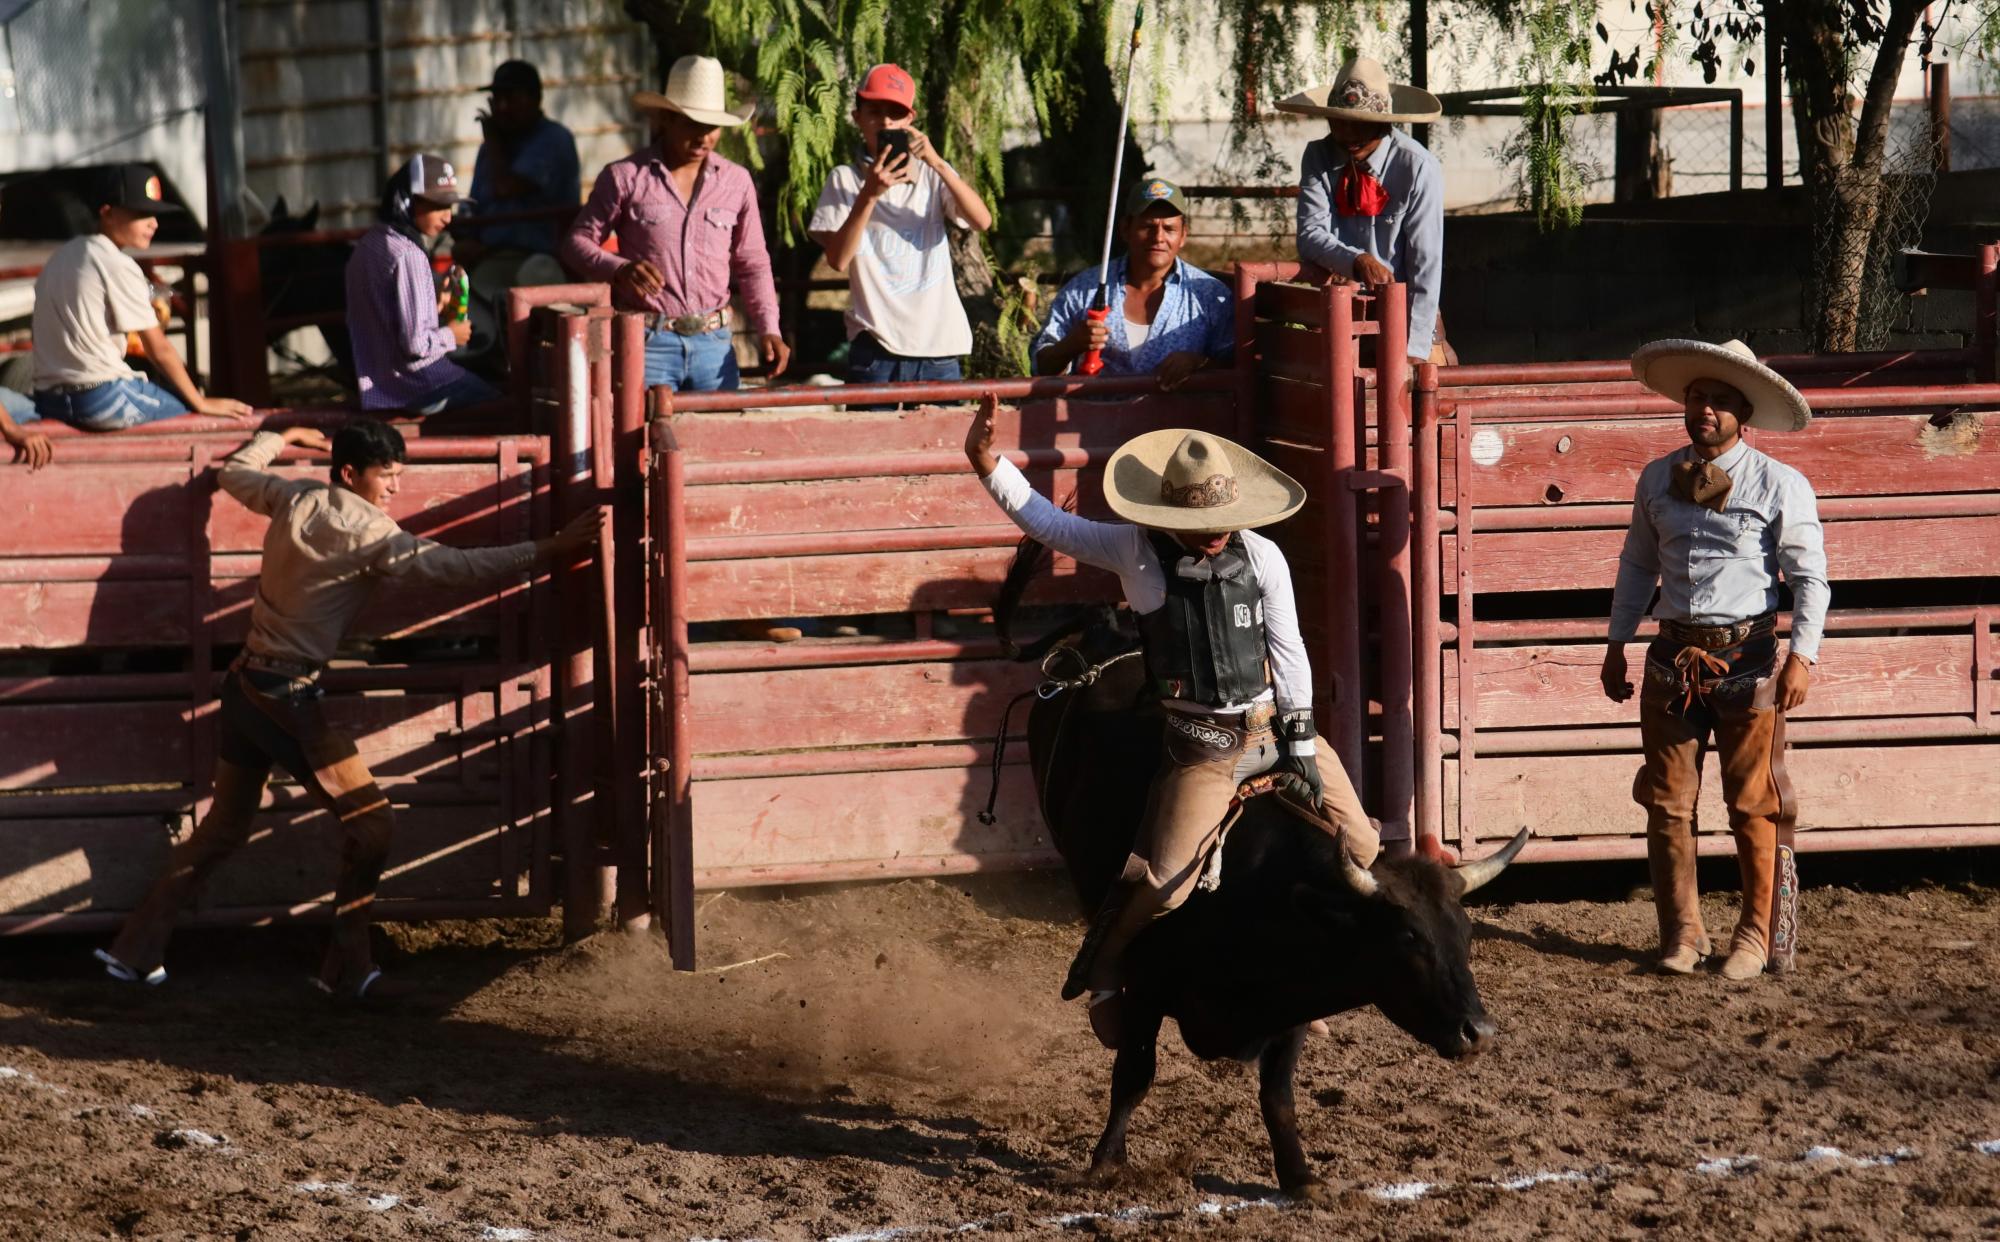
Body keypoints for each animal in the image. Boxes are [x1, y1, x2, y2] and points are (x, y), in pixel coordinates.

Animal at [1000, 576, 1528, 1200]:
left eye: (1466, 936)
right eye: (1407, 939)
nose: (1480, 1033)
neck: (1257, 895)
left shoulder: (1293, 1003)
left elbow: (1277, 1095)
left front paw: (1298, 1177)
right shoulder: (1148, 984)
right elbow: (1134, 1073)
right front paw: (1105, 1163)